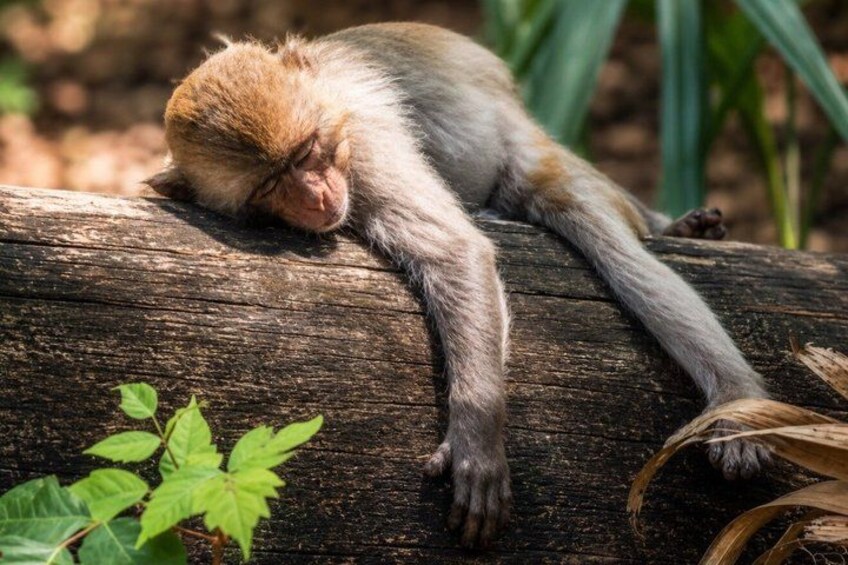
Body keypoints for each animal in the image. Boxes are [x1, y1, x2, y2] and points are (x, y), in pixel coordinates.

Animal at [146, 23, 771, 548]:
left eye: (305, 152)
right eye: (269, 186)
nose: (318, 197)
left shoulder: (366, 145)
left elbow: (456, 252)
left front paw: (475, 435)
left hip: (522, 142)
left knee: (600, 235)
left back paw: (734, 395)